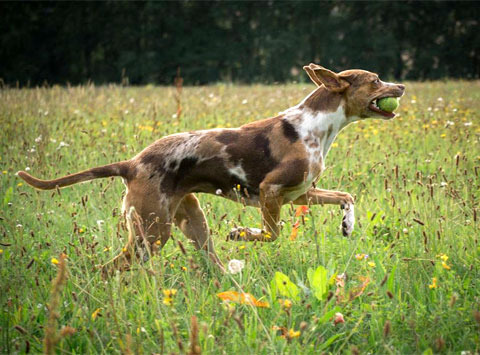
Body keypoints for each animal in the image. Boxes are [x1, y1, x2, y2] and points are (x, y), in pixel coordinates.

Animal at [15, 64, 404, 272]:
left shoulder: (298, 194)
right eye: (375, 80)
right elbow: (271, 233)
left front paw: (347, 224)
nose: (401, 84)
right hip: (151, 234)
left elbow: (346, 195)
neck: (316, 125)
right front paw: (242, 233)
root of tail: (132, 163)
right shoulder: (271, 191)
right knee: (109, 267)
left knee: (208, 264)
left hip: (190, 222)